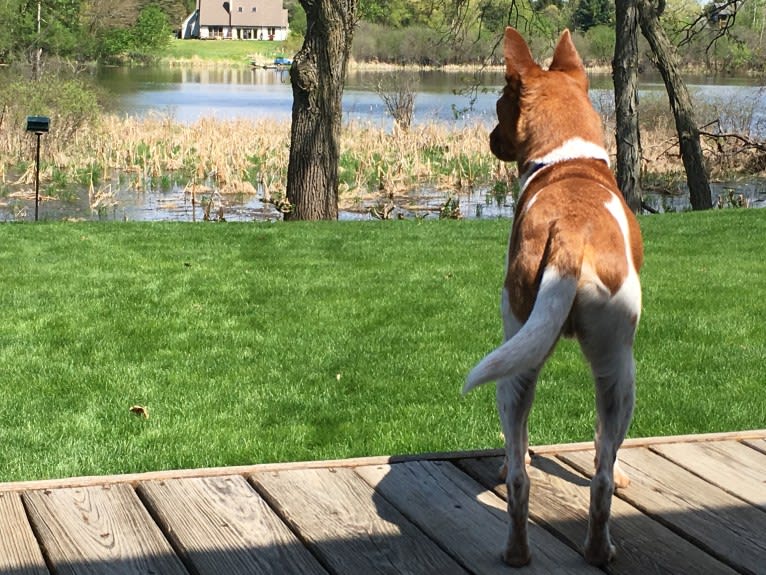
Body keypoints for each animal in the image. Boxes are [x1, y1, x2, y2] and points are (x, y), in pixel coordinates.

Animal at [464, 27, 644, 568]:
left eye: (499, 106)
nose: (489, 139)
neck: (568, 159)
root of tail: (571, 232)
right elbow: (604, 445)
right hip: (616, 368)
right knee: (598, 475)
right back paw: (596, 549)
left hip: (519, 365)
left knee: (522, 477)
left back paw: (520, 551)